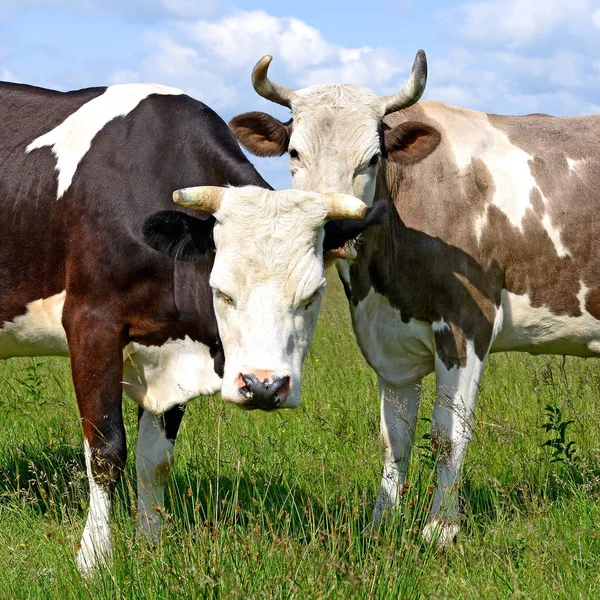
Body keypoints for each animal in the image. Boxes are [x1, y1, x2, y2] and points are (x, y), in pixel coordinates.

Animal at [229, 51, 600, 544]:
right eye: (294, 152)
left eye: (372, 158)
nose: (335, 229)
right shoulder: (391, 345)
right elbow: (395, 437)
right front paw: (382, 521)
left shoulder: (467, 324)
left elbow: (448, 435)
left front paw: (441, 528)